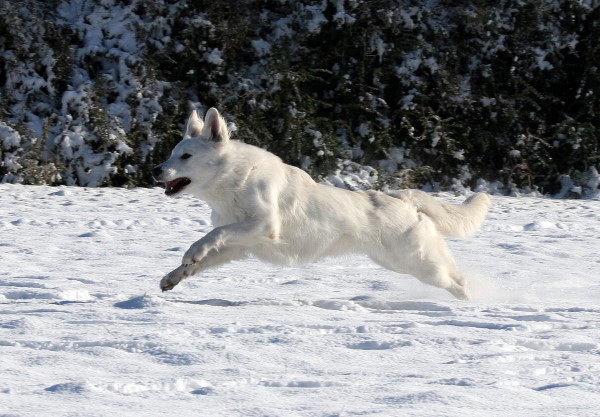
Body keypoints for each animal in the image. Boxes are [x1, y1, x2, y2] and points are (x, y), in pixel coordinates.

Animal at [153, 108, 490, 300]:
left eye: (186, 156)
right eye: (172, 154)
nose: (155, 170)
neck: (233, 182)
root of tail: (401, 196)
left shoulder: (264, 226)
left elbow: (211, 236)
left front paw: (192, 252)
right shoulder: (241, 244)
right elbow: (205, 255)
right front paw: (174, 276)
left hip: (419, 263)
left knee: (457, 281)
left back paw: (472, 304)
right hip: (397, 262)